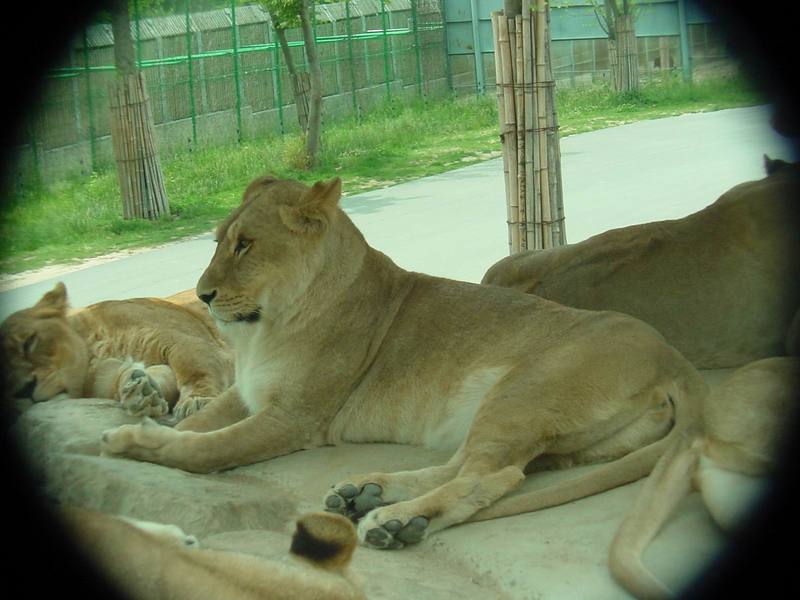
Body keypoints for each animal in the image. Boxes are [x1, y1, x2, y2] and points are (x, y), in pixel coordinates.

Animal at [2, 282, 234, 420]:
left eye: (29, 342)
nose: (24, 390)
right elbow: (152, 378)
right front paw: (140, 393)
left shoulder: (185, 341)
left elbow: (195, 369)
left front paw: (196, 401)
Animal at [101, 173, 708, 548]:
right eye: (219, 241)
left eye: (246, 244)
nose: (202, 296)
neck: (267, 325)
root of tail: (675, 359)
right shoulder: (246, 393)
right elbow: (201, 425)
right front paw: (153, 428)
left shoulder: (295, 418)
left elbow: (209, 450)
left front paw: (136, 441)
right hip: (553, 434)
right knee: (468, 465)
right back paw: (362, 492)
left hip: (523, 392)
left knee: (491, 476)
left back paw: (394, 521)